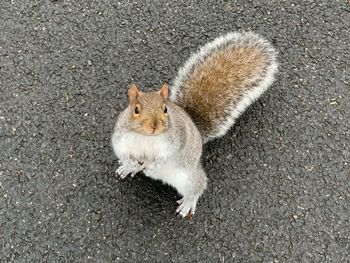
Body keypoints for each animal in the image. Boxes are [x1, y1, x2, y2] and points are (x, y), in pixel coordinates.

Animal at [110, 32, 278, 220]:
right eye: (136, 109)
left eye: (165, 109)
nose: (154, 126)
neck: (147, 137)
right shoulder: (121, 138)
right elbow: (121, 151)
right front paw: (127, 163)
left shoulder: (174, 141)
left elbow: (166, 156)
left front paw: (154, 165)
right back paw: (129, 168)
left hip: (188, 177)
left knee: (198, 186)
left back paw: (187, 203)